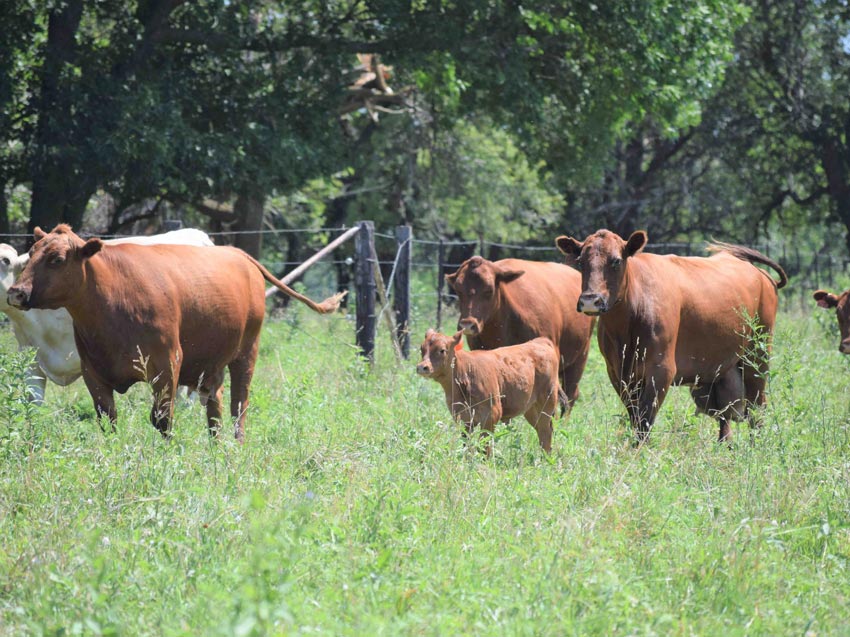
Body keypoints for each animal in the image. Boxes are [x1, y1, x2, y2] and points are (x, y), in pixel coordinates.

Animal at [416, 326, 560, 454]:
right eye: (421, 348)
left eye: (442, 350)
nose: (422, 367)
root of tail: (540, 341)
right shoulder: (464, 419)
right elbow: (467, 446)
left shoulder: (491, 416)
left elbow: (485, 447)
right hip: (531, 409)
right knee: (542, 431)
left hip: (546, 404)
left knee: (545, 432)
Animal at [552, 229, 784, 442]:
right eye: (580, 262)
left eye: (616, 261)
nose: (590, 300)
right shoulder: (618, 373)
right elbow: (634, 415)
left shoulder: (661, 369)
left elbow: (644, 419)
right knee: (725, 415)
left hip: (758, 356)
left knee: (757, 407)